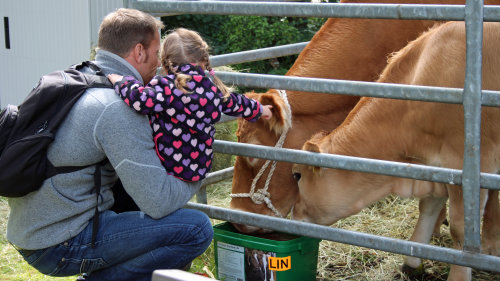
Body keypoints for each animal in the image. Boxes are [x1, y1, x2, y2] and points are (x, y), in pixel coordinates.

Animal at [292, 21, 500, 280]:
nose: (294, 215)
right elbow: (428, 208)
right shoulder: (437, 168)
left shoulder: (468, 166)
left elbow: (460, 232)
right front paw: (412, 262)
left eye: (297, 175)